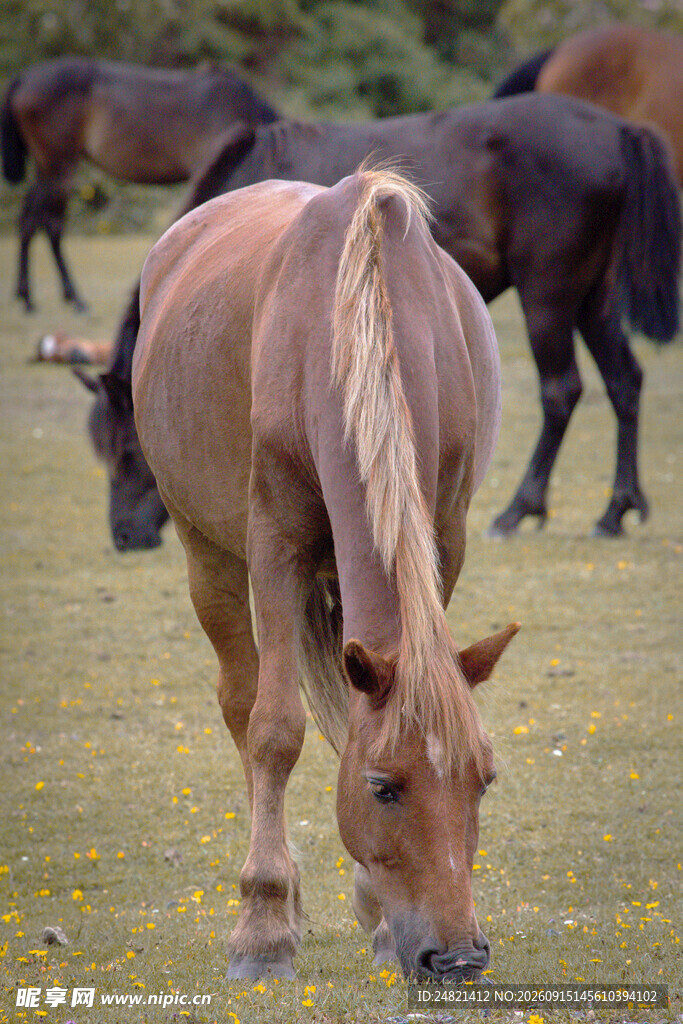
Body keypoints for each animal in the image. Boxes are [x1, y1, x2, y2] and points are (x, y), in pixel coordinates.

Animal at [1, 56, 278, 312]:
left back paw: (32, 294)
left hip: (46, 167)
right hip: (59, 167)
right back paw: (57, 299)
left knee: (32, 217)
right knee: (45, 223)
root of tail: (23, 78)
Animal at [77, 93, 680, 551]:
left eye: (128, 453)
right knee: (625, 383)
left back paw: (518, 510)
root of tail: (619, 130)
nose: (123, 536)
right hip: (591, 299)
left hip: (549, 296)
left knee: (561, 391)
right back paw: (616, 510)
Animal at [132, 166, 519, 980]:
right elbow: (274, 730)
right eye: (383, 788)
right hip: (206, 552)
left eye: (485, 778)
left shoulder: (442, 540)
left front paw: (379, 919)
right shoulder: (276, 547)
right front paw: (263, 930)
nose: (457, 957)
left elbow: (353, 718)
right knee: (240, 701)